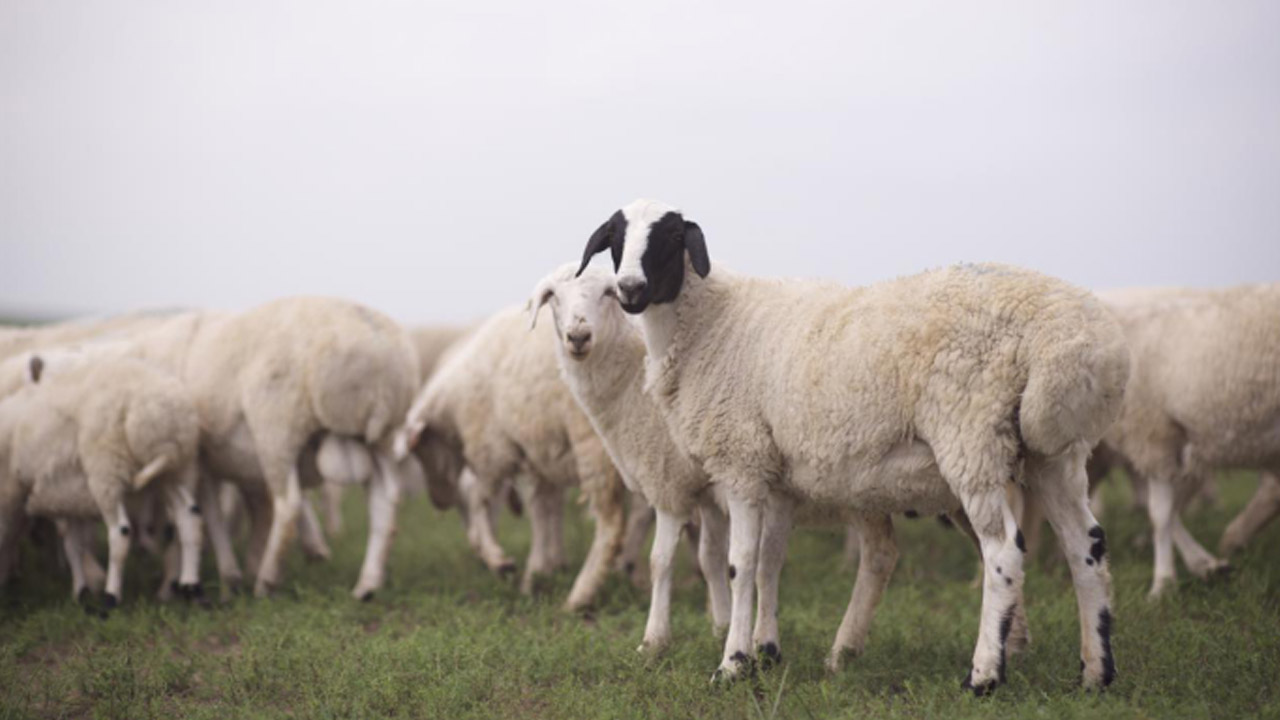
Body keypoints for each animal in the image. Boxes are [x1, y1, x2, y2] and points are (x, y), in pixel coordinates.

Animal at [0, 348, 202, 604]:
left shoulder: (11, 493)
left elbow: (9, 537)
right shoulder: (66, 498)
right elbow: (72, 546)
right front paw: (80, 590)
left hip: (106, 470)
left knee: (120, 532)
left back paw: (111, 595)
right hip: (175, 471)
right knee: (189, 517)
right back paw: (190, 585)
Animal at [394, 302, 624, 609]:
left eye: (420, 449)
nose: (438, 502)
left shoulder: (491, 451)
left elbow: (479, 501)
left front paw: (499, 560)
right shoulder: (540, 454)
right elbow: (544, 511)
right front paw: (541, 570)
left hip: (592, 443)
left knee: (611, 520)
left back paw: (581, 594)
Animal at [581, 197, 1131, 691]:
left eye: (672, 236)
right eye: (616, 237)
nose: (630, 289)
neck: (711, 325)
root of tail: (1070, 336)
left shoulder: (741, 463)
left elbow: (741, 565)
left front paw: (732, 663)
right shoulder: (777, 478)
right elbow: (770, 563)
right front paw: (767, 651)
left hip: (971, 438)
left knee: (1004, 553)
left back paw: (984, 675)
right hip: (1053, 453)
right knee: (1086, 546)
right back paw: (1096, 672)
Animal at [1085, 284, 1280, 594]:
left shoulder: (1155, 435)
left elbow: (1161, 513)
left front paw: (1163, 583)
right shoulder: (1168, 439)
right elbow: (1166, 508)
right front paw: (1201, 567)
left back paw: (1230, 540)